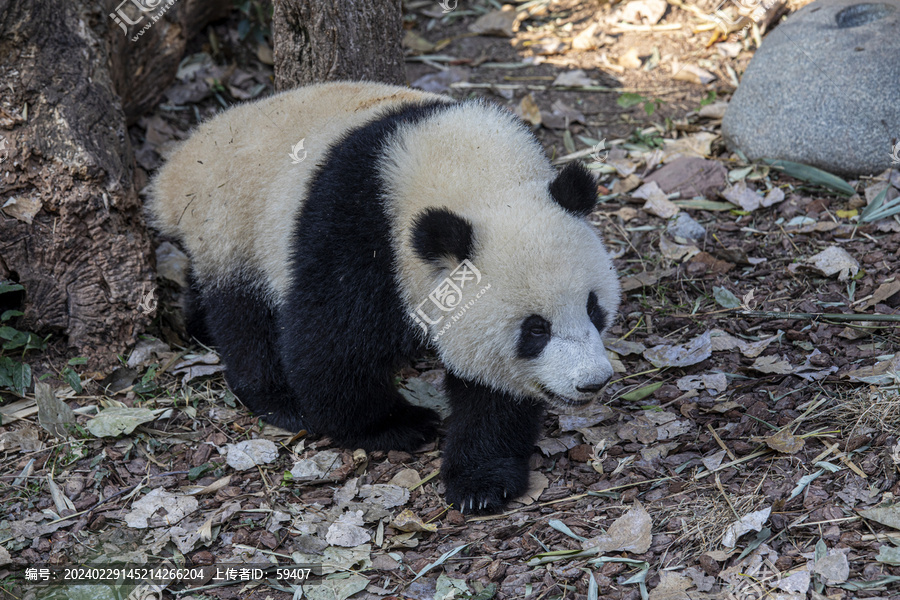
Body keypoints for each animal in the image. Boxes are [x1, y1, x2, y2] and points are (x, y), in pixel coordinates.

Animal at [151, 78, 624, 510]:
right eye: (535, 330)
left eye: (593, 308)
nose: (592, 381)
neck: (473, 172)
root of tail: (175, 170)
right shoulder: (359, 227)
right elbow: (332, 341)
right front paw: (395, 425)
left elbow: (492, 389)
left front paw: (481, 481)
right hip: (232, 223)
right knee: (244, 317)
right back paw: (278, 398)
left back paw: (195, 322)